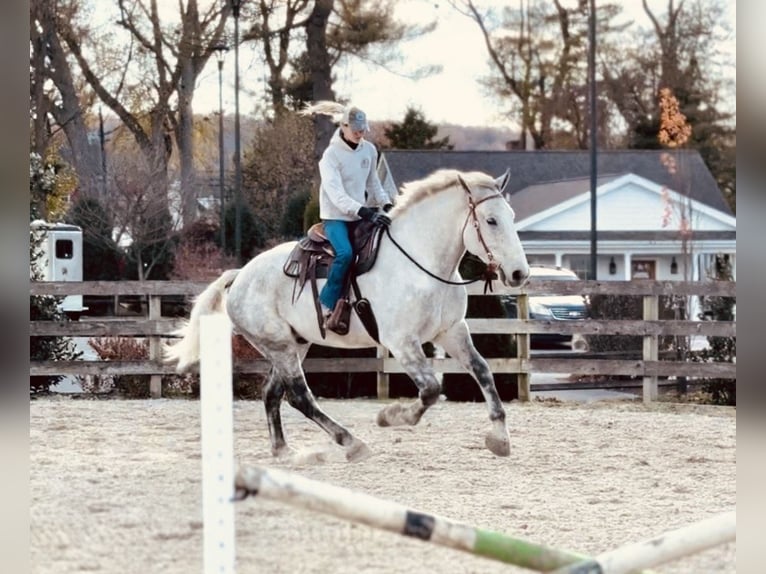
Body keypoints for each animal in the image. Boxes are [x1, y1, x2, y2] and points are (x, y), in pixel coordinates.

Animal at [164, 168, 529, 461]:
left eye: (512, 215)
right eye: (491, 220)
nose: (519, 274)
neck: (421, 264)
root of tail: (240, 276)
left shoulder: (451, 331)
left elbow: (483, 372)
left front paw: (500, 439)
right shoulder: (401, 342)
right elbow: (429, 390)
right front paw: (390, 417)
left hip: (294, 345)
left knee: (273, 393)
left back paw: (283, 450)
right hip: (279, 346)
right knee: (301, 397)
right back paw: (352, 443)